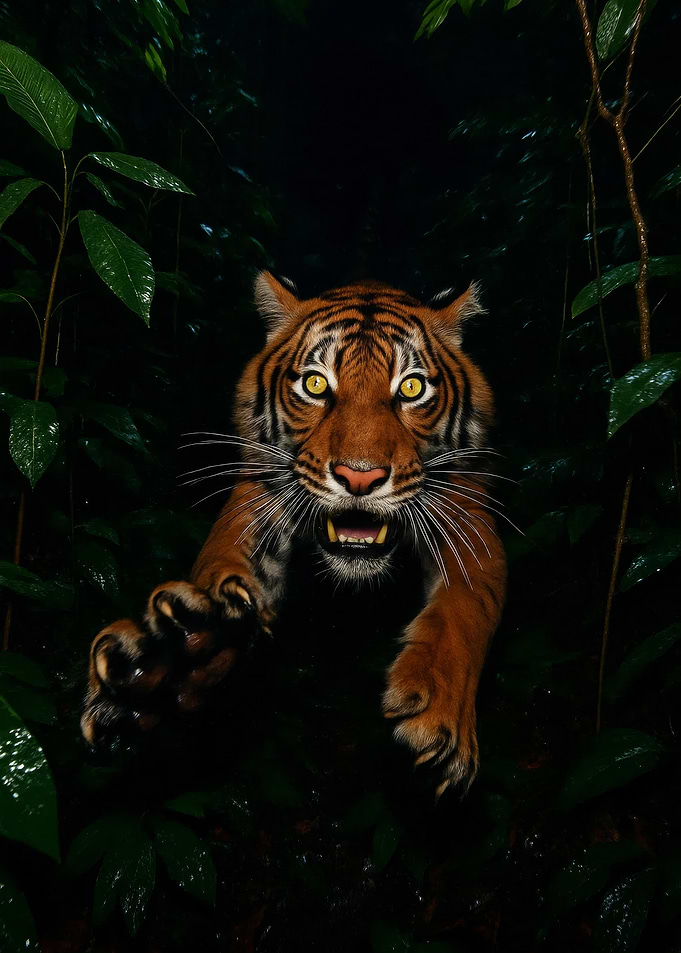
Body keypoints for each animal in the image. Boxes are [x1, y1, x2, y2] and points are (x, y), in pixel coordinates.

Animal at [81, 271, 507, 795]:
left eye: (410, 388)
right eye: (315, 383)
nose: (360, 477)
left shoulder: (467, 509)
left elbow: (463, 612)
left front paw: (439, 716)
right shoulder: (257, 492)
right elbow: (222, 561)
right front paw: (183, 659)